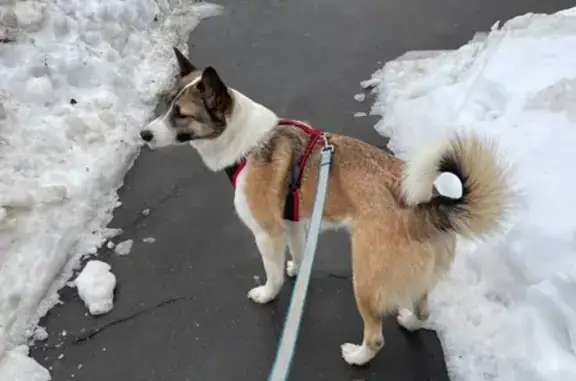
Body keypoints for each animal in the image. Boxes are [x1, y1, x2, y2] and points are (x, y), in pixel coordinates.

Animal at [140, 47, 508, 366]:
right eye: (167, 106)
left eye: (180, 114)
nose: (144, 135)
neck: (249, 143)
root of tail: (429, 205)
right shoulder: (293, 222)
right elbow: (299, 253)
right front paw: (297, 270)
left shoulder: (268, 232)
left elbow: (273, 273)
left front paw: (268, 293)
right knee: (422, 310)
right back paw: (408, 320)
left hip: (365, 279)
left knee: (376, 336)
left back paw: (358, 356)